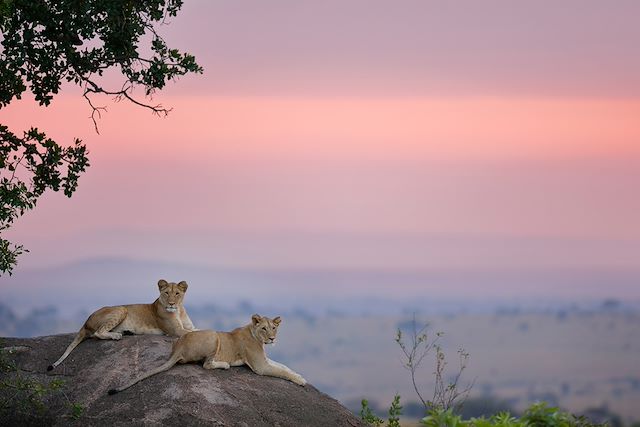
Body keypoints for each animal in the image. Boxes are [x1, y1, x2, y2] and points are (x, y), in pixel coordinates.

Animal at [48, 279, 197, 371]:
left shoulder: (189, 327)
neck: (179, 310)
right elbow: (192, 333)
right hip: (121, 309)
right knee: (97, 333)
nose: (171, 303)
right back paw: (116, 335)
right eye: (166, 293)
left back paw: (126, 332)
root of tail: (86, 320)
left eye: (177, 293)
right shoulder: (175, 330)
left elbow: (197, 331)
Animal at [108, 314, 306, 394]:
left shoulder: (264, 360)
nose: (272, 338)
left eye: (274, 328)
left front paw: (299, 374)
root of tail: (178, 346)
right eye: (264, 328)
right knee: (206, 364)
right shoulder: (260, 366)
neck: (257, 337)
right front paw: (301, 381)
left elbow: (283, 366)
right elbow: (281, 371)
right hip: (213, 335)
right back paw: (224, 364)